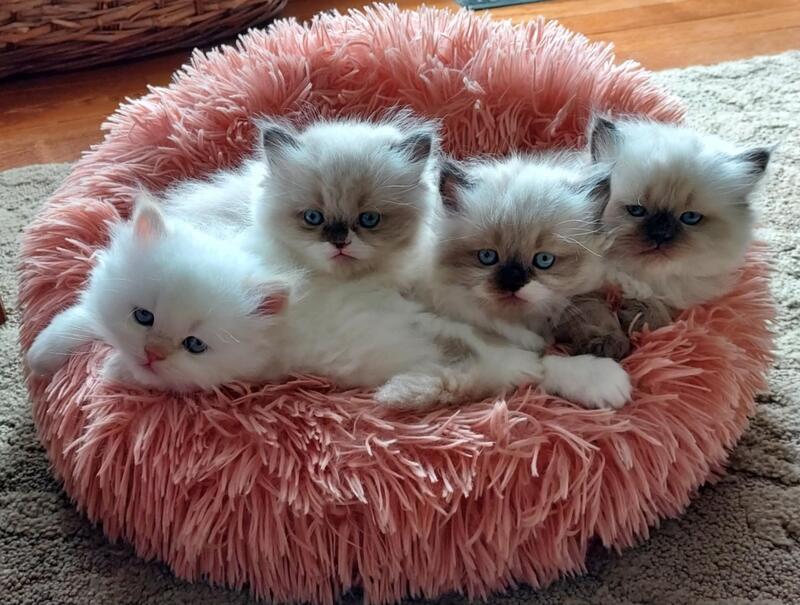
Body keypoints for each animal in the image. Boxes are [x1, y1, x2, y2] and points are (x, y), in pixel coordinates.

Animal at [27, 194, 294, 391]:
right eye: (144, 316)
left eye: (195, 345)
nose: (153, 354)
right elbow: (86, 317)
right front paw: (42, 351)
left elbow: (170, 379)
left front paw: (114, 370)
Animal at [555, 116, 771, 358]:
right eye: (636, 210)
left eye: (690, 218)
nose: (661, 235)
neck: (636, 276)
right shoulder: (579, 296)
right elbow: (596, 314)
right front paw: (606, 346)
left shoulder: (674, 297)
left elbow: (659, 318)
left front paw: (639, 318)